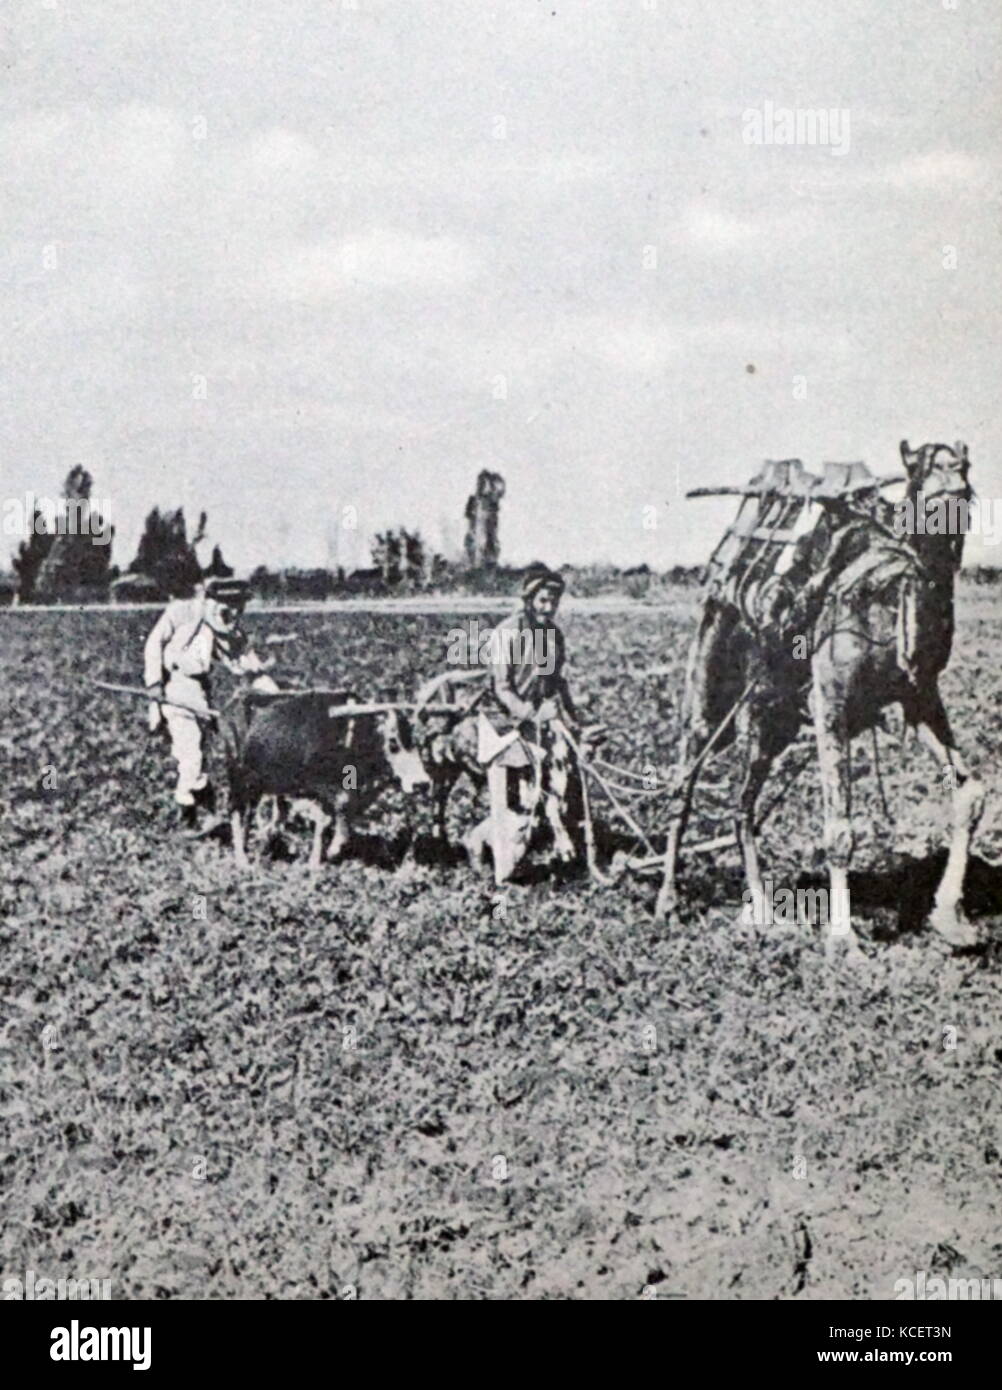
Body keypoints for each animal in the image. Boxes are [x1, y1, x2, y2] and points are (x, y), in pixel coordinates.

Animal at [653, 439, 978, 950]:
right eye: (922, 491)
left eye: (966, 494)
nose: (941, 554)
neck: (889, 597)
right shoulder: (832, 700)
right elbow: (839, 827)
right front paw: (844, 940)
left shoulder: (918, 695)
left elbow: (970, 793)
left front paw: (950, 918)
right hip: (709, 686)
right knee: (685, 781)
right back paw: (667, 901)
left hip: (772, 718)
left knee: (743, 805)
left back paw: (762, 912)